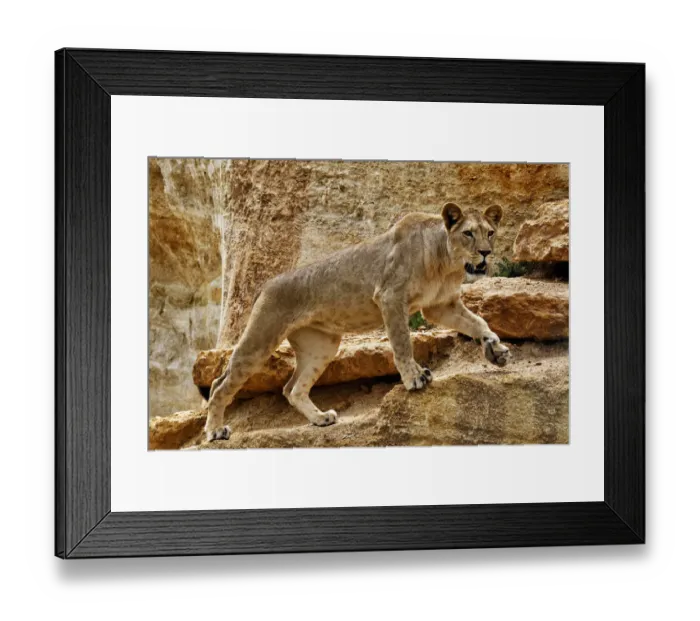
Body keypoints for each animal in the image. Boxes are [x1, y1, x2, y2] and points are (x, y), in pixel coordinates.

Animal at [204, 202, 511, 442]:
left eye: (490, 232)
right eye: (468, 233)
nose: (486, 252)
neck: (446, 263)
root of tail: (267, 284)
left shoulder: (440, 306)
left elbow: (478, 322)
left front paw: (496, 351)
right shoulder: (390, 296)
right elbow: (402, 343)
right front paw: (414, 377)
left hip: (322, 346)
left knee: (292, 388)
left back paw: (320, 418)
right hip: (261, 337)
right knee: (220, 384)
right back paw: (215, 431)